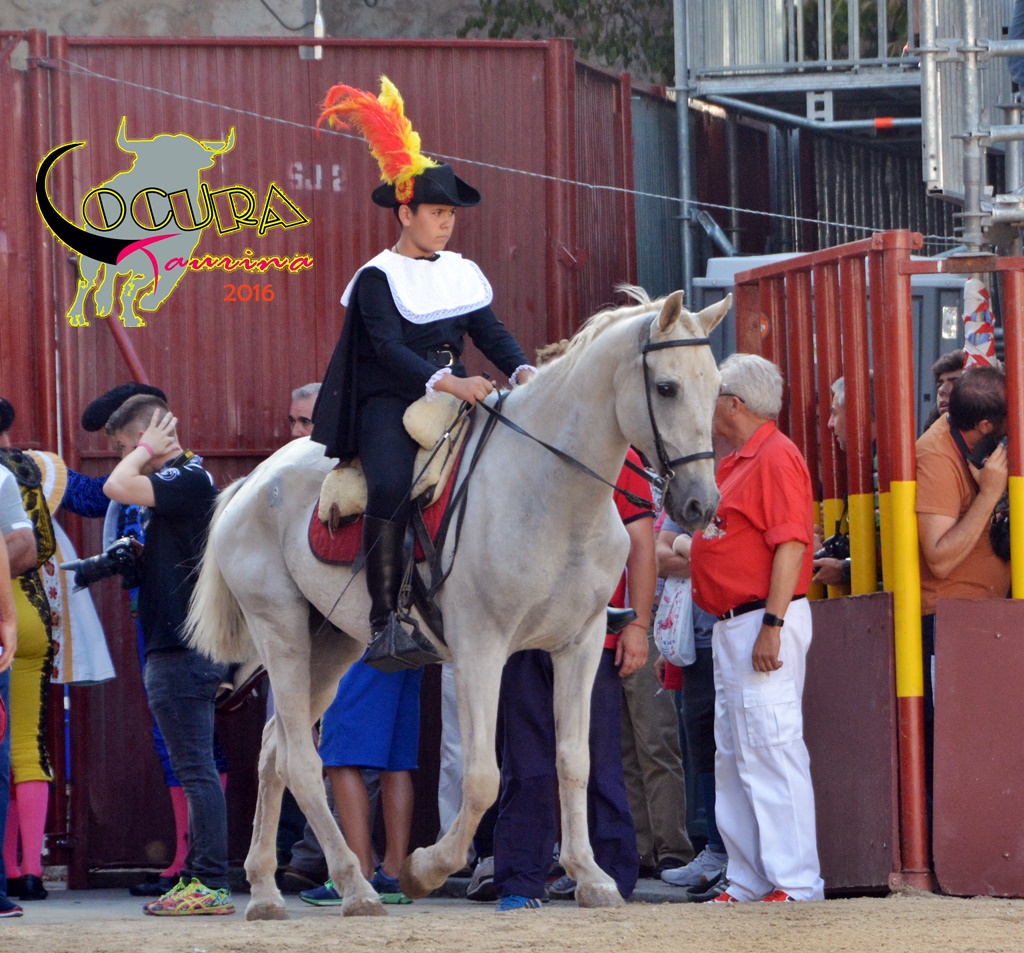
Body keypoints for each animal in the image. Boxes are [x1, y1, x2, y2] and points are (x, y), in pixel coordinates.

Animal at [186, 287, 731, 920]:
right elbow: (482, 779)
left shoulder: (582, 644)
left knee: (275, 751)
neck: (550, 490)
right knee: (299, 759)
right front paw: (424, 869)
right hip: (284, 635)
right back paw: (356, 886)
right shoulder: (481, 650)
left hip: (333, 645)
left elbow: (573, 761)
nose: (699, 506)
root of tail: (250, 483)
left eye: (715, 386)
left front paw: (590, 877)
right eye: (666, 387)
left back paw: (269, 892)